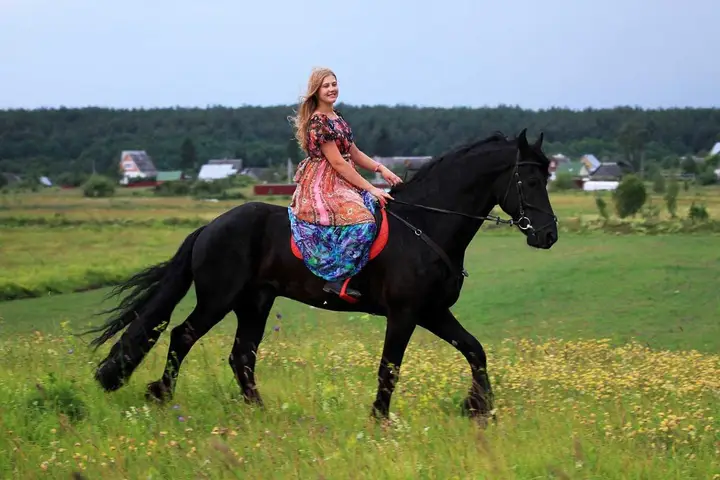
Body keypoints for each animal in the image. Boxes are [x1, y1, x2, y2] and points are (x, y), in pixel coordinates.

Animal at [81, 128, 558, 422]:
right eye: (532, 182)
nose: (548, 235)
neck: (426, 226)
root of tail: (210, 227)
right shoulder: (405, 314)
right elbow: (390, 367)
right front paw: (380, 419)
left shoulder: (433, 312)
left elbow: (475, 350)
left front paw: (479, 408)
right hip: (219, 298)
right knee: (183, 335)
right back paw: (161, 395)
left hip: (255, 302)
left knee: (241, 355)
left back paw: (259, 411)